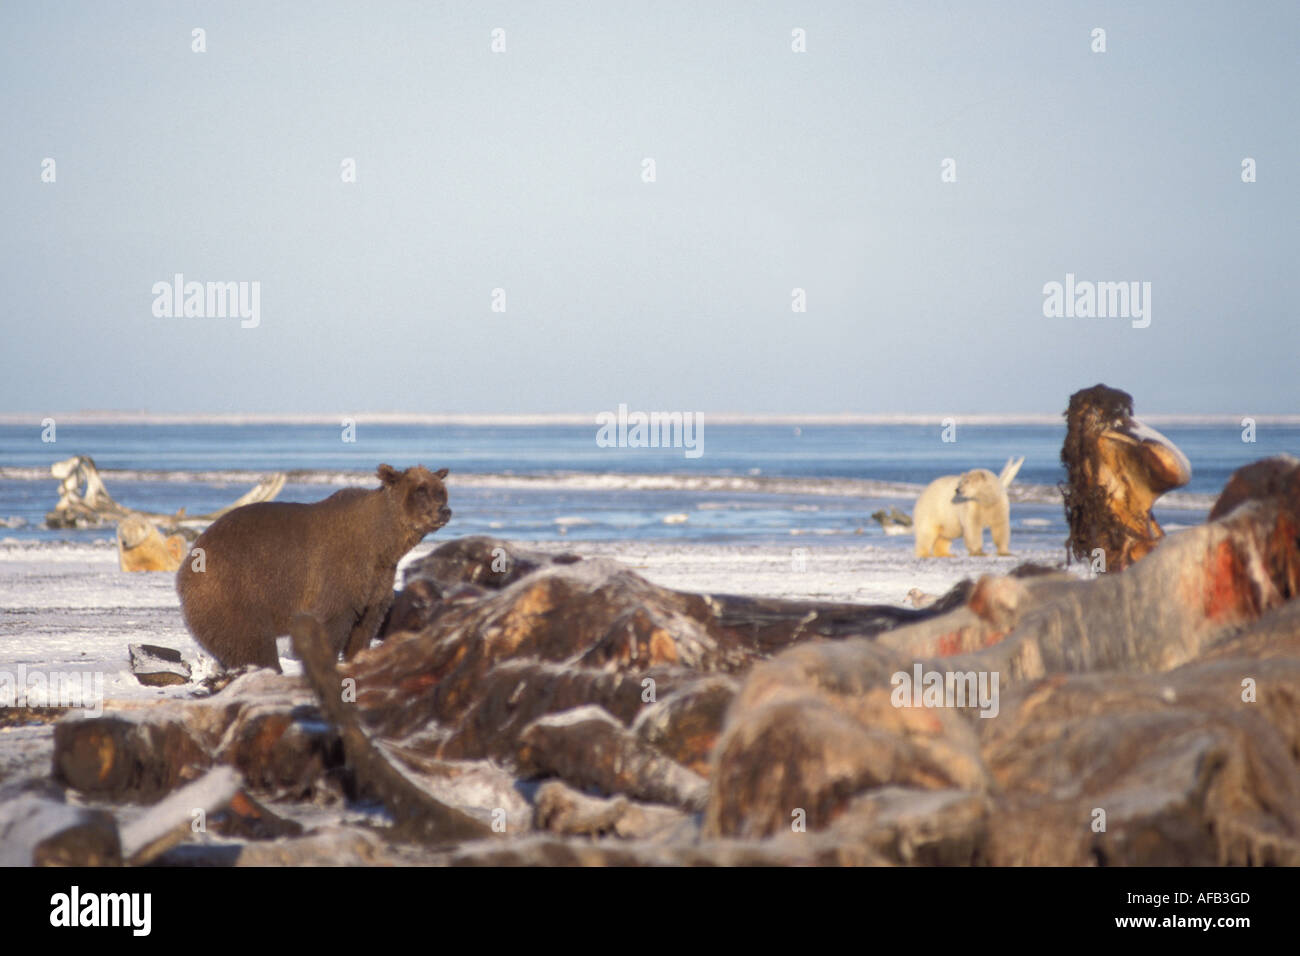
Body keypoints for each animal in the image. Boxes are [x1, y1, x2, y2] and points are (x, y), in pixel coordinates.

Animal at [176, 464, 451, 671]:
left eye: (440, 491)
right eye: (420, 490)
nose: (444, 511)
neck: (382, 544)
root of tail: (189, 560)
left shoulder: (377, 581)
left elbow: (364, 628)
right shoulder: (339, 572)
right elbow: (331, 622)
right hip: (236, 589)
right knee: (251, 641)